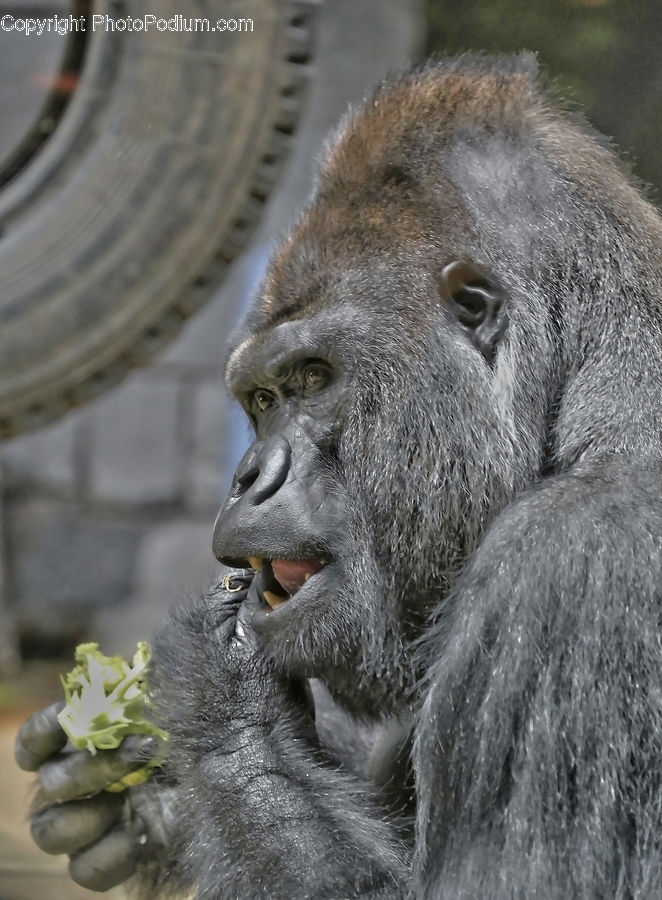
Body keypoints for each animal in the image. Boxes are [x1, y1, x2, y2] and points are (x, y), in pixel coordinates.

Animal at [15, 53, 662, 898]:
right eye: (261, 399)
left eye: (313, 377)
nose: (249, 477)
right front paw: (153, 805)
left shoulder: (572, 566)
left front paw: (218, 704)